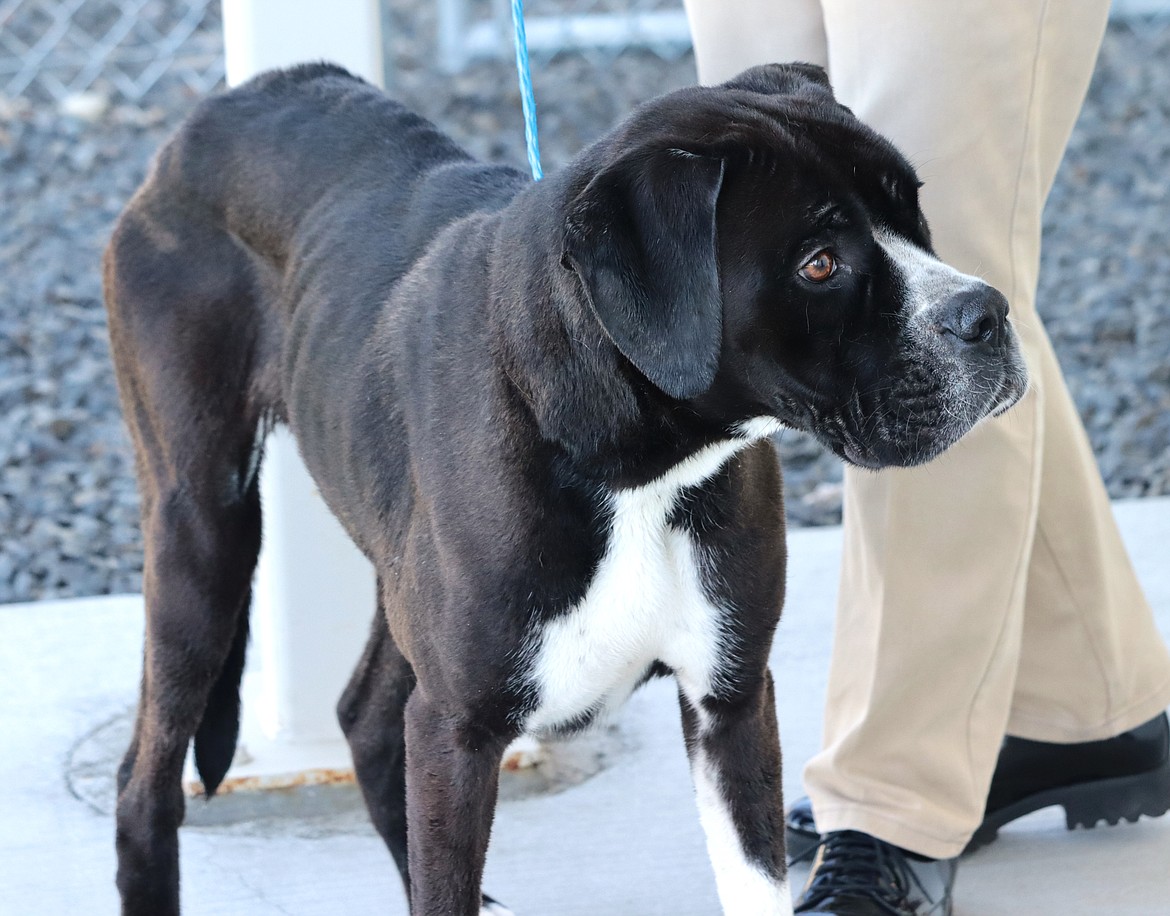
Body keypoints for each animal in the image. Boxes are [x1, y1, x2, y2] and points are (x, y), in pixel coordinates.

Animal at [107, 60, 1024, 912]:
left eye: (912, 210)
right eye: (820, 264)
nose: (987, 314)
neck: (634, 466)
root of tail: (221, 109)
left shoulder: (728, 701)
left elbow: (752, 882)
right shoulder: (459, 731)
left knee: (364, 718)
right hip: (204, 535)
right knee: (144, 782)